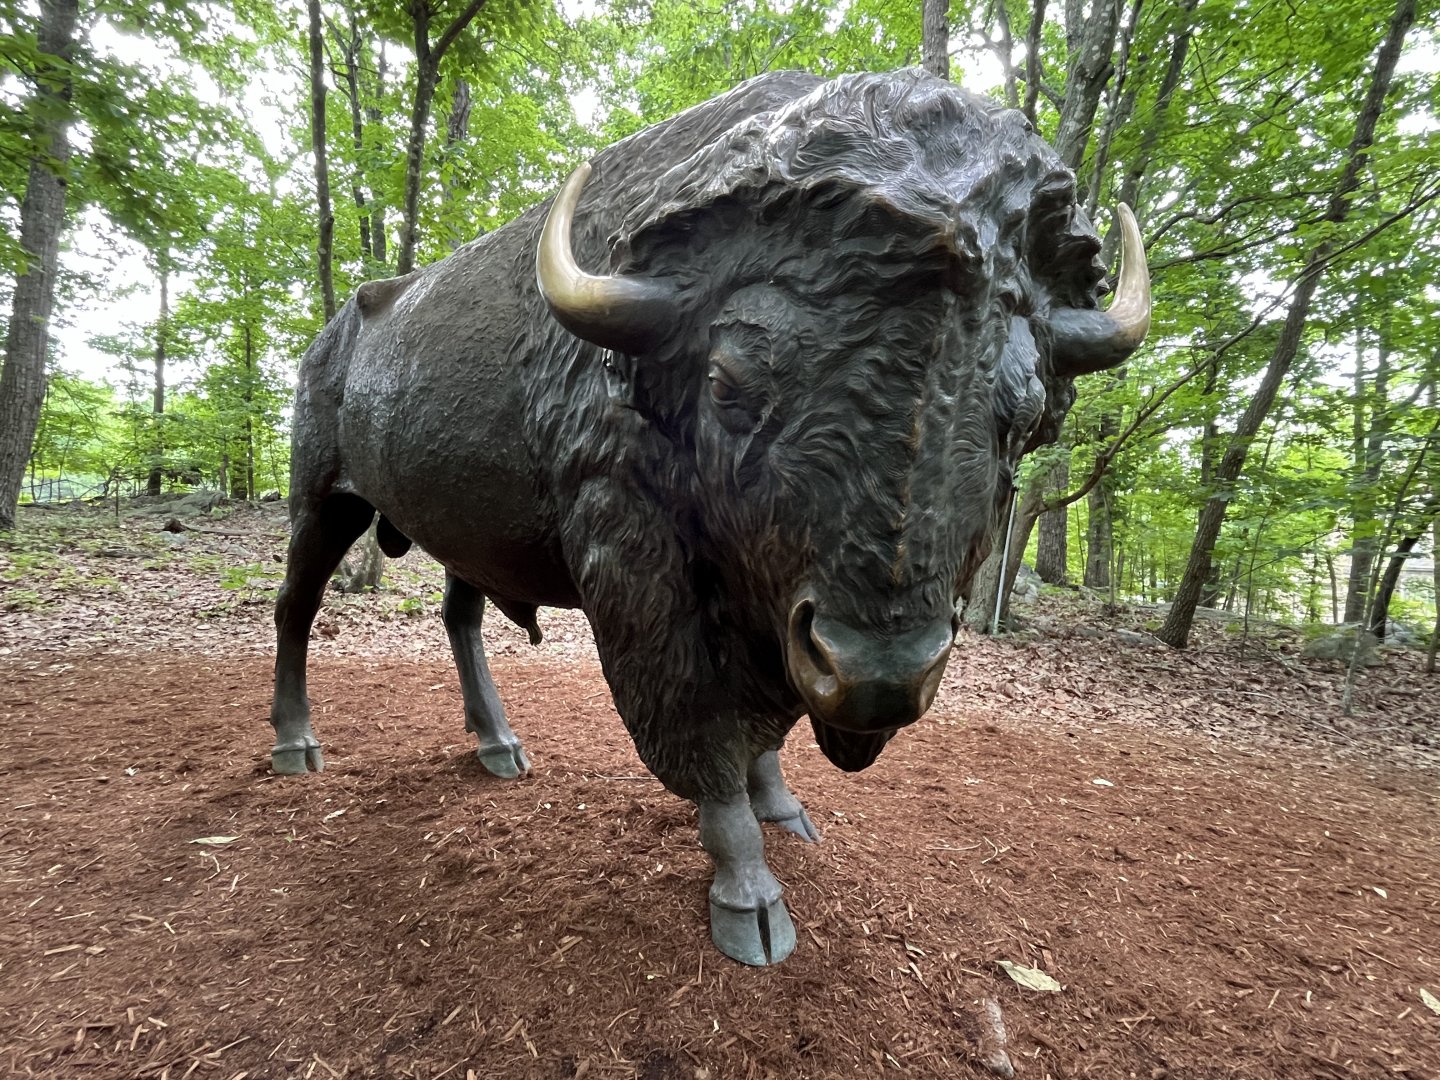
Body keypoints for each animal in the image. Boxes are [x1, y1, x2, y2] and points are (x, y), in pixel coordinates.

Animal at [269, 68, 1150, 966]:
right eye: (729, 381)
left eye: (1024, 414)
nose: (880, 676)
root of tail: (332, 336)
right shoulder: (640, 570)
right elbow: (702, 725)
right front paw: (750, 900)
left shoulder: (777, 619)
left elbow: (767, 729)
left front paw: (786, 811)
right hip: (323, 501)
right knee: (295, 607)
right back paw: (297, 747)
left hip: (465, 536)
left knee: (460, 615)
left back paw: (499, 747)